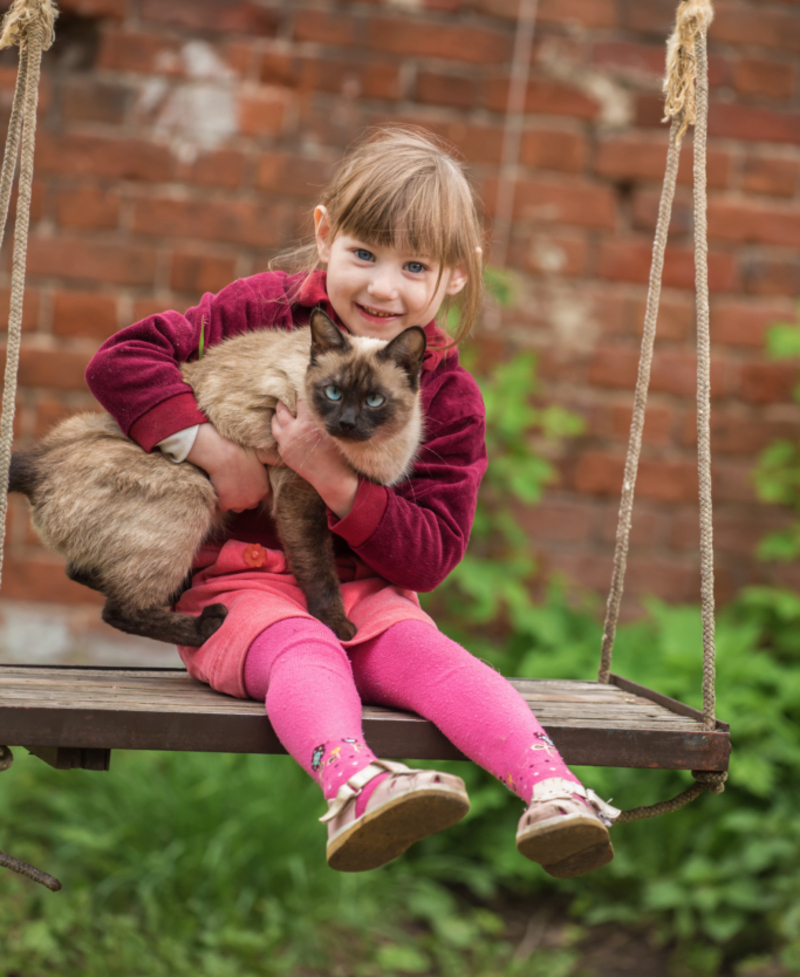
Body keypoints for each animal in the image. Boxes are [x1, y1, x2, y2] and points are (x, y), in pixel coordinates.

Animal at [10, 312, 424, 644]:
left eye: (374, 400)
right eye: (333, 393)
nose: (346, 424)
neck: (368, 455)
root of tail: (38, 463)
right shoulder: (301, 495)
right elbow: (319, 570)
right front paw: (337, 626)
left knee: (81, 571)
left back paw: (177, 592)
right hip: (193, 494)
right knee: (119, 610)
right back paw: (207, 623)